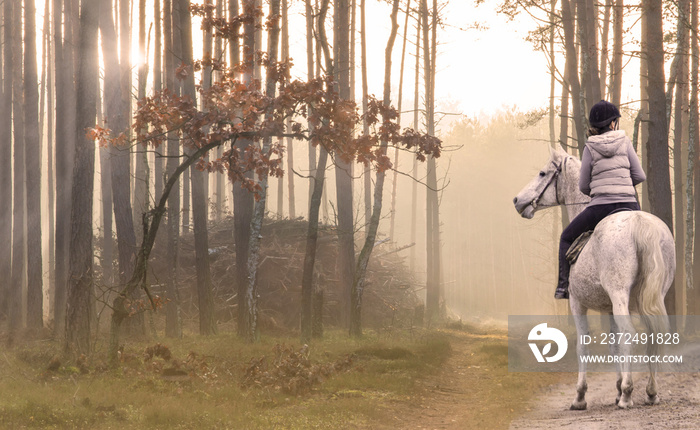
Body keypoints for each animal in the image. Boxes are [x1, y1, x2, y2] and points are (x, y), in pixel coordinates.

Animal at [516, 148, 672, 410]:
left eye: (542, 173)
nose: (517, 200)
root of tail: (640, 223)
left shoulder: (577, 303)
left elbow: (583, 345)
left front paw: (581, 396)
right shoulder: (609, 308)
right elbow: (614, 345)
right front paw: (617, 389)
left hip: (619, 294)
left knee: (630, 333)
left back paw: (628, 394)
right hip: (653, 297)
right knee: (652, 335)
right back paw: (651, 393)